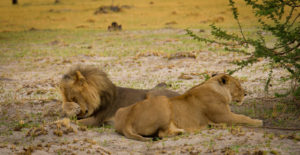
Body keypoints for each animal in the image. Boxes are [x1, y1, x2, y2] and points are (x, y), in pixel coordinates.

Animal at [114, 73, 262, 141]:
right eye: (238, 86)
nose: (246, 94)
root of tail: (127, 120)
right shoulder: (224, 116)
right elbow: (243, 117)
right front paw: (258, 121)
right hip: (163, 100)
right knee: (162, 134)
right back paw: (181, 132)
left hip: (121, 110)